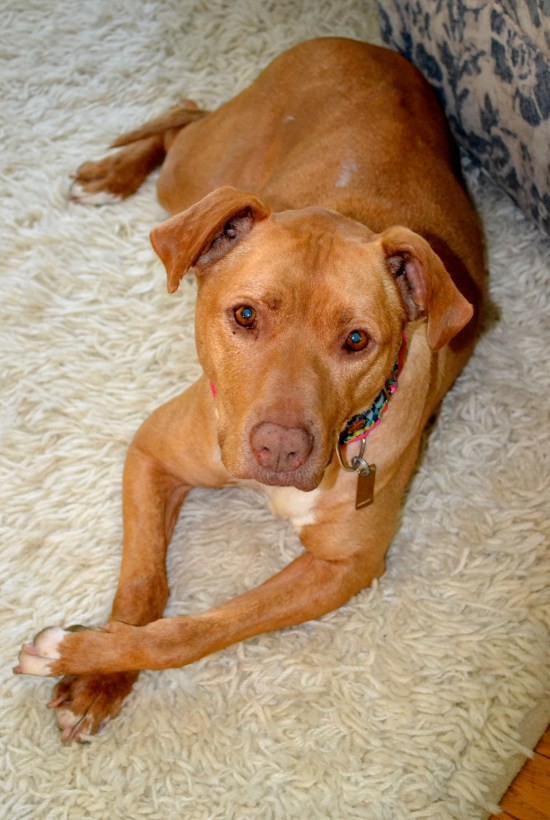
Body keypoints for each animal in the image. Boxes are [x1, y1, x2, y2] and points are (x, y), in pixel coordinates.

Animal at [15, 37, 484, 743]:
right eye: (243, 315)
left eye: (356, 340)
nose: (281, 451)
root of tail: (362, 43)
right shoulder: (151, 451)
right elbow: (142, 579)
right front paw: (100, 671)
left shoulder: (343, 568)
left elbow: (193, 632)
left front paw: (85, 658)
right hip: (200, 169)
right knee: (183, 117)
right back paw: (108, 174)